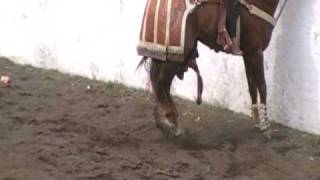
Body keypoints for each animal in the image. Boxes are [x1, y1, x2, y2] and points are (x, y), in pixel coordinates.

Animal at [138, 0, 280, 138]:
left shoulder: (248, 54)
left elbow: (252, 86)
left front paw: (257, 120)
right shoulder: (256, 53)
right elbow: (262, 86)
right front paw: (266, 126)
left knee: (160, 82)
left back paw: (166, 118)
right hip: (174, 57)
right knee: (161, 81)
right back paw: (171, 119)